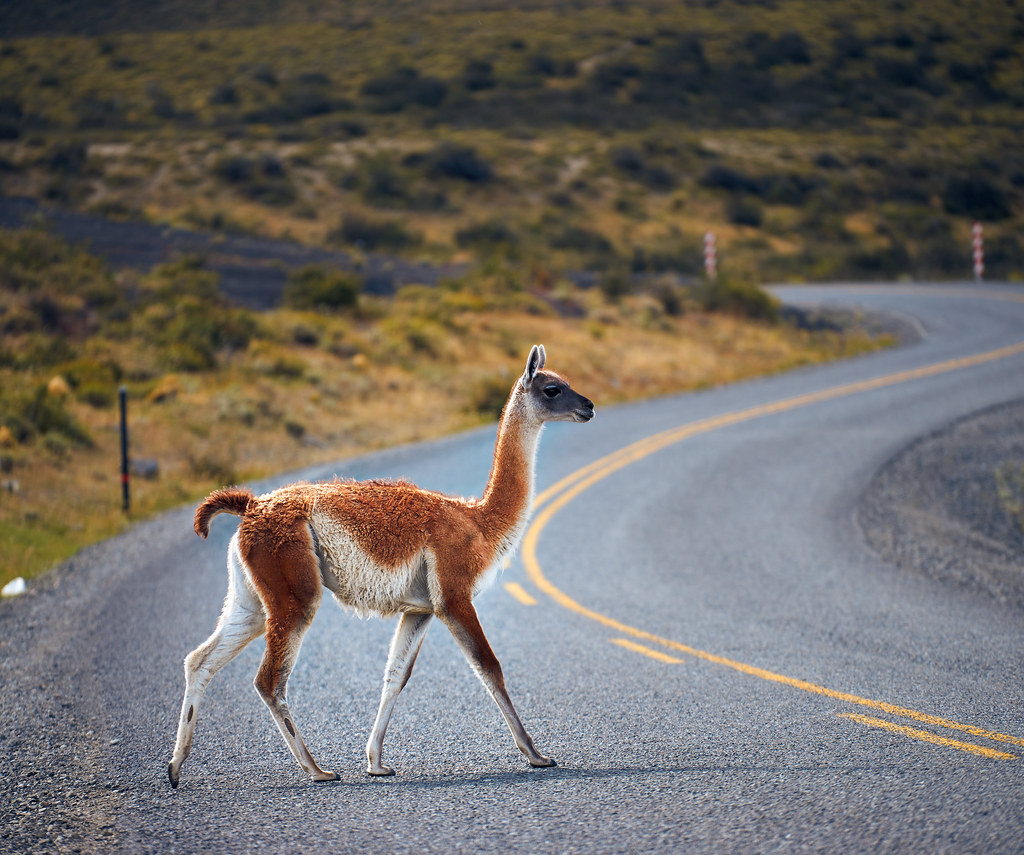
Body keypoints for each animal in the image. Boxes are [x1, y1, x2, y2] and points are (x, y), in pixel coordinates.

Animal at [168, 345, 594, 787]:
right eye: (552, 388)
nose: (589, 406)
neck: (478, 521)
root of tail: (251, 506)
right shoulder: (454, 594)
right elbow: (489, 667)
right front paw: (536, 754)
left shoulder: (420, 608)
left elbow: (395, 676)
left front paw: (375, 761)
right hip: (294, 589)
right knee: (269, 680)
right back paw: (317, 769)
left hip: (251, 598)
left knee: (199, 660)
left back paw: (176, 767)